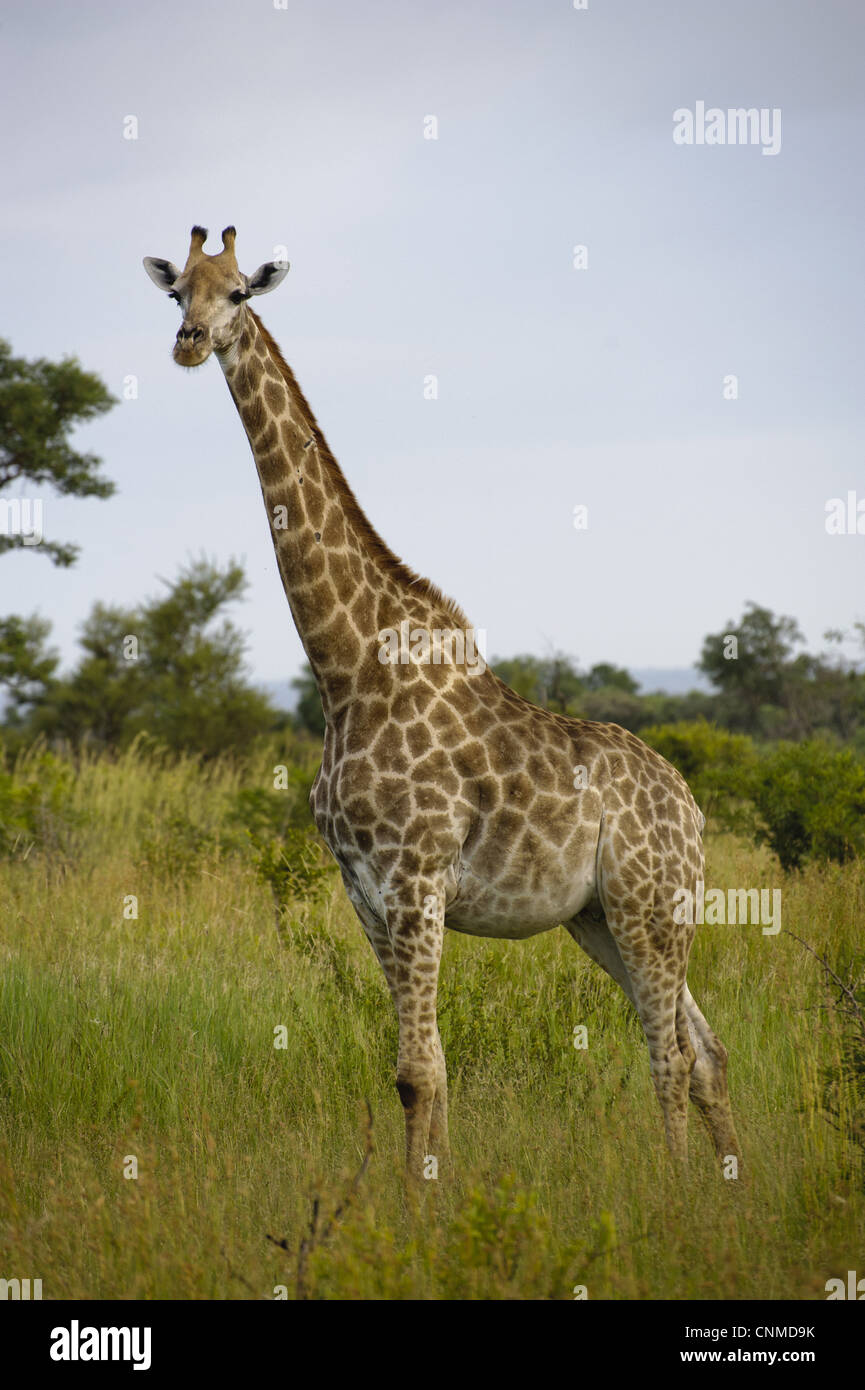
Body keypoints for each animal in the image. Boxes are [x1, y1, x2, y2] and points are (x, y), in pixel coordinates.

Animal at [144, 227, 740, 1181]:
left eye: (238, 291)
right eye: (176, 294)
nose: (190, 342)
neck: (346, 671)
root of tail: (688, 802)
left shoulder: (415, 880)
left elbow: (420, 1071)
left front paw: (426, 1211)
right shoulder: (365, 891)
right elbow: (417, 1074)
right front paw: (426, 1198)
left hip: (649, 905)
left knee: (670, 1053)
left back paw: (680, 1193)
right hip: (604, 919)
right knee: (707, 1048)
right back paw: (729, 1192)